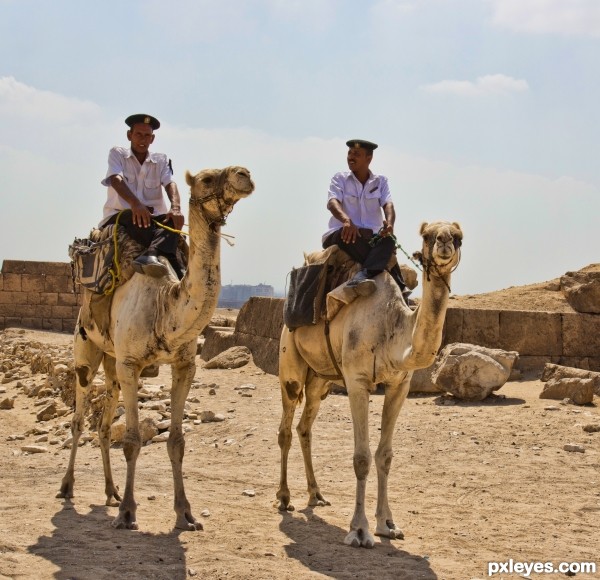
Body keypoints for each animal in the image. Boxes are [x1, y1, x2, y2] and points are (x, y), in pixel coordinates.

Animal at [55, 165, 253, 532]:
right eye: (206, 178)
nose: (243, 174)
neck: (165, 305)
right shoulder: (132, 363)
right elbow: (132, 441)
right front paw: (127, 514)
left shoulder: (184, 364)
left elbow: (176, 442)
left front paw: (185, 514)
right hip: (86, 350)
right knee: (78, 418)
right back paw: (67, 487)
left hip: (112, 362)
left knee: (104, 425)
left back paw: (111, 491)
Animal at [276, 220, 464, 548]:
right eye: (427, 235)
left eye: (459, 237)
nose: (443, 242)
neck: (392, 329)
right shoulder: (357, 381)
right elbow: (362, 458)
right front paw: (359, 530)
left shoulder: (400, 384)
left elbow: (385, 456)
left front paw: (388, 525)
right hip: (290, 361)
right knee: (285, 427)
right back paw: (285, 498)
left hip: (320, 379)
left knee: (304, 427)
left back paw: (316, 494)